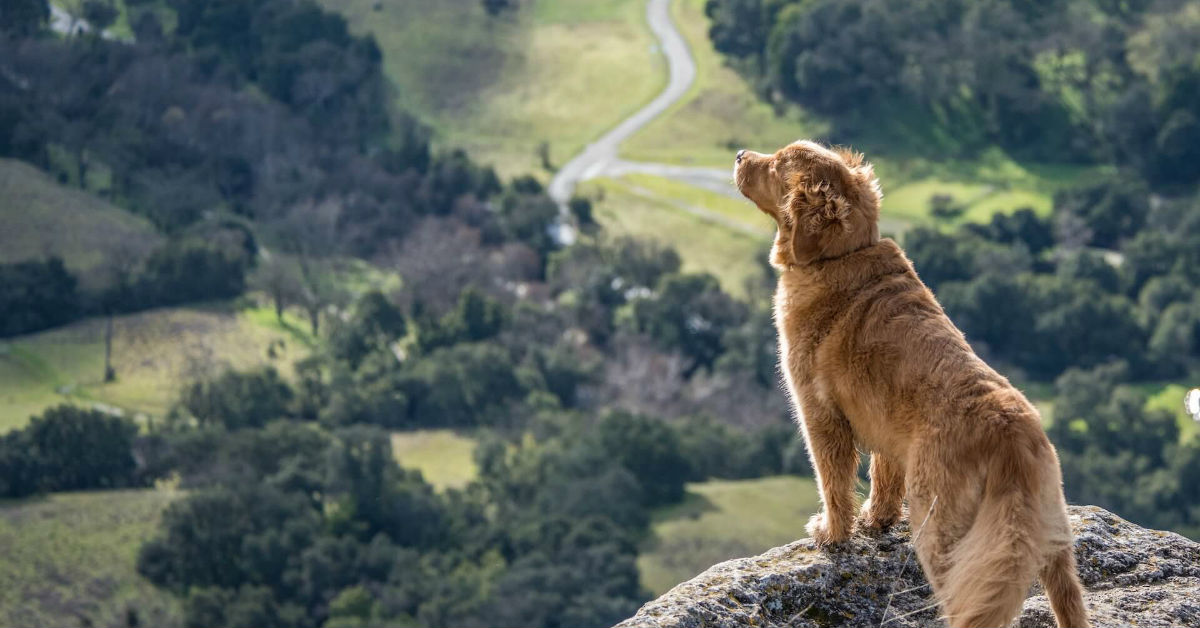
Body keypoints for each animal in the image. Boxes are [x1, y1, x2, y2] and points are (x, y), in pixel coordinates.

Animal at [729, 142, 1089, 628]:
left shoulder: (820, 415)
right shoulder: (883, 422)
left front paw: (832, 533)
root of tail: (1011, 435)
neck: (841, 254)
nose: (739, 154)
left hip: (940, 528)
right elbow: (883, 477)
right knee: (1067, 599)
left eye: (775, 164)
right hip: (1054, 538)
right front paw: (876, 520)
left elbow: (833, 483)